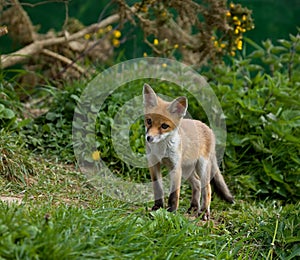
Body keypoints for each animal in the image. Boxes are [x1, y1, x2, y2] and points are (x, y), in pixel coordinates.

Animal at [144, 83, 234, 219]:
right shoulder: (153, 164)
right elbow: (158, 188)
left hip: (201, 167)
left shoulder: (175, 167)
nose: (149, 138)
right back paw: (193, 207)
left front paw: (171, 212)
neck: (161, 150)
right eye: (149, 121)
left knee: (207, 189)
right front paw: (157, 208)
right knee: (197, 184)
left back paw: (204, 212)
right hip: (187, 170)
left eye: (164, 126)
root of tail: (207, 127)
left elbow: (174, 195)